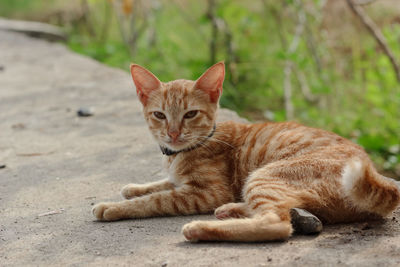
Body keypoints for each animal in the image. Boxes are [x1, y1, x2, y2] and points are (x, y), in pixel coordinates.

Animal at [92, 61, 398, 242]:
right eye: (159, 115)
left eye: (190, 114)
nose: (174, 134)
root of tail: (376, 174)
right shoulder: (181, 181)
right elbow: (159, 184)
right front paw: (133, 187)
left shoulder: (205, 192)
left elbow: (155, 200)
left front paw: (112, 207)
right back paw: (231, 209)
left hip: (265, 175)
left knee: (276, 224)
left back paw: (201, 228)